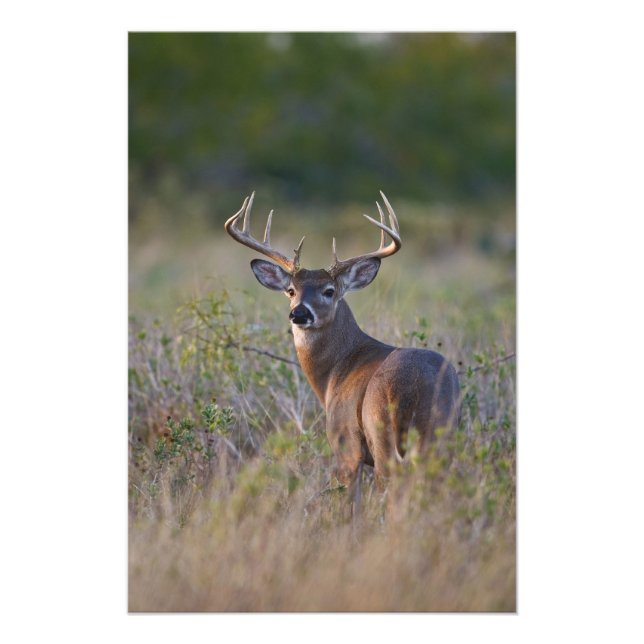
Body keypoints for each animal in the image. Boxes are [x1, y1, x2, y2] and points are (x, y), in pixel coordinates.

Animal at [225, 191, 460, 493]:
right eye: (291, 290)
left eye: (329, 291)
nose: (299, 313)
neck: (334, 373)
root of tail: (414, 387)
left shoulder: (344, 442)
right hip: (441, 435)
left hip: (381, 431)